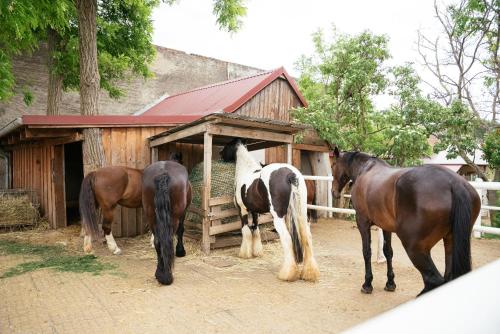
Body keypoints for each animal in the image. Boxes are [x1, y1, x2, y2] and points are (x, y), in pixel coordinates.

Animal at [220, 138, 320, 282]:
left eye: (227, 145)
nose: (220, 155)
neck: (246, 171)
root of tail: (291, 174)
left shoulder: (242, 210)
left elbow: (246, 230)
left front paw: (245, 253)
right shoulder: (255, 212)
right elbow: (255, 229)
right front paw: (257, 252)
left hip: (278, 218)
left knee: (287, 238)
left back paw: (287, 274)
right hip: (302, 214)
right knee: (307, 237)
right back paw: (310, 273)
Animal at [332, 147, 480, 296]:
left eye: (333, 165)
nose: (334, 192)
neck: (365, 169)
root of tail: (454, 183)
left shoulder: (362, 222)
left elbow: (367, 252)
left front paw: (367, 284)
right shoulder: (386, 226)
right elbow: (388, 252)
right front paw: (390, 283)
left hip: (414, 247)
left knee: (433, 279)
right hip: (449, 241)